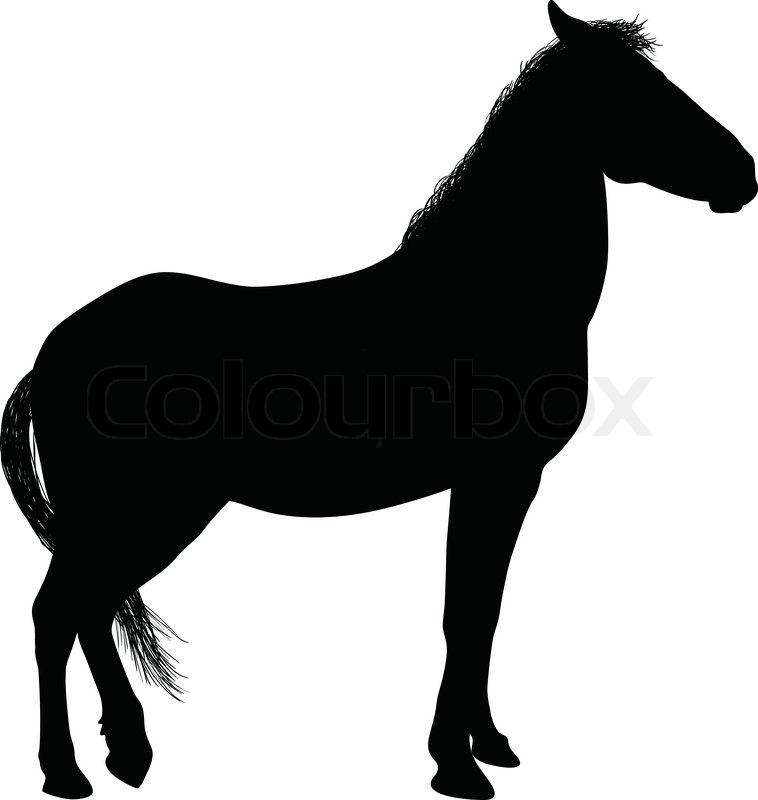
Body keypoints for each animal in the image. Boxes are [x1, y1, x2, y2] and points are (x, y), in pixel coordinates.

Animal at [1, 3, 755, 799]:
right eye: (637, 92)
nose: (744, 173)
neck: (484, 292)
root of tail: (51, 352)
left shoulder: (502, 484)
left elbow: (482, 613)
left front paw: (487, 742)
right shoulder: (496, 477)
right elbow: (466, 614)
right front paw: (455, 764)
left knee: (87, 607)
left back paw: (129, 750)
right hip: (147, 511)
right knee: (58, 611)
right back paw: (67, 771)